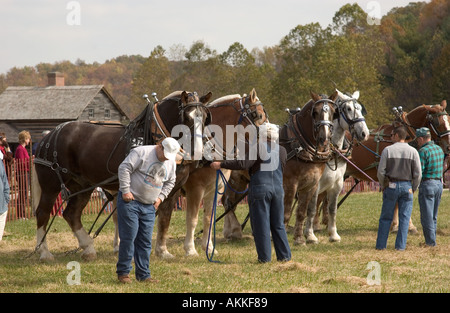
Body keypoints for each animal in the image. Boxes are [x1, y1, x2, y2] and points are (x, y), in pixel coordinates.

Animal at [32, 91, 213, 260]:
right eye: (187, 118)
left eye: (204, 117)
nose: (199, 151)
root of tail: (47, 137)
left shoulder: (172, 190)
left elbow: (164, 219)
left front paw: (162, 251)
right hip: (51, 185)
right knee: (43, 213)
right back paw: (45, 252)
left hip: (82, 186)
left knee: (71, 214)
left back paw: (88, 248)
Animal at [155, 88, 268, 258]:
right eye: (259, 115)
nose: (270, 139)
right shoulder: (196, 190)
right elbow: (192, 219)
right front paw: (190, 249)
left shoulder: (216, 189)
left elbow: (209, 217)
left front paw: (208, 247)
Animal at [282, 90, 338, 244]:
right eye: (315, 112)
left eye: (333, 112)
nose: (324, 138)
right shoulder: (290, 184)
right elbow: (286, 213)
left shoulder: (311, 185)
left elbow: (302, 212)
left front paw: (299, 239)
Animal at [308, 89, 370, 241]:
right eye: (348, 109)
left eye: (360, 109)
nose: (364, 133)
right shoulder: (315, 184)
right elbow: (312, 207)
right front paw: (311, 234)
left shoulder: (337, 183)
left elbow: (332, 208)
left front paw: (333, 234)